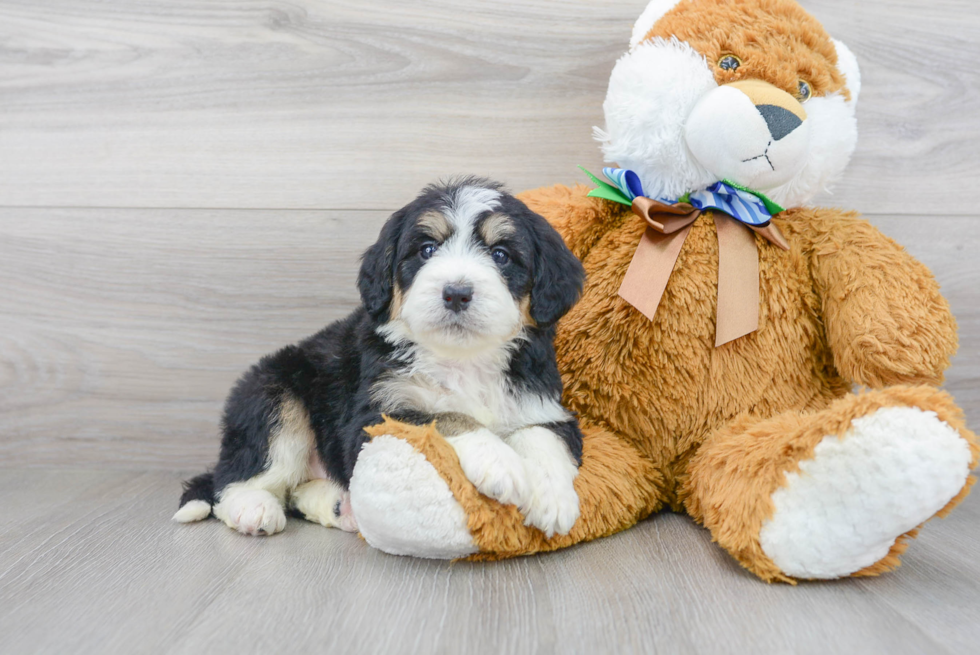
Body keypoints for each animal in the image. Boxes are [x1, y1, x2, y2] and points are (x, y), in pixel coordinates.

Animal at [172, 178, 584, 540]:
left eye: (500, 254)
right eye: (426, 250)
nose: (456, 293)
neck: (462, 359)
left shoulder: (543, 404)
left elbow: (542, 436)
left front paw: (552, 498)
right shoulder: (374, 415)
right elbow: (445, 416)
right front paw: (500, 462)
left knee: (296, 490)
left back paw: (340, 506)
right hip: (273, 396)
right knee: (234, 480)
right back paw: (254, 509)